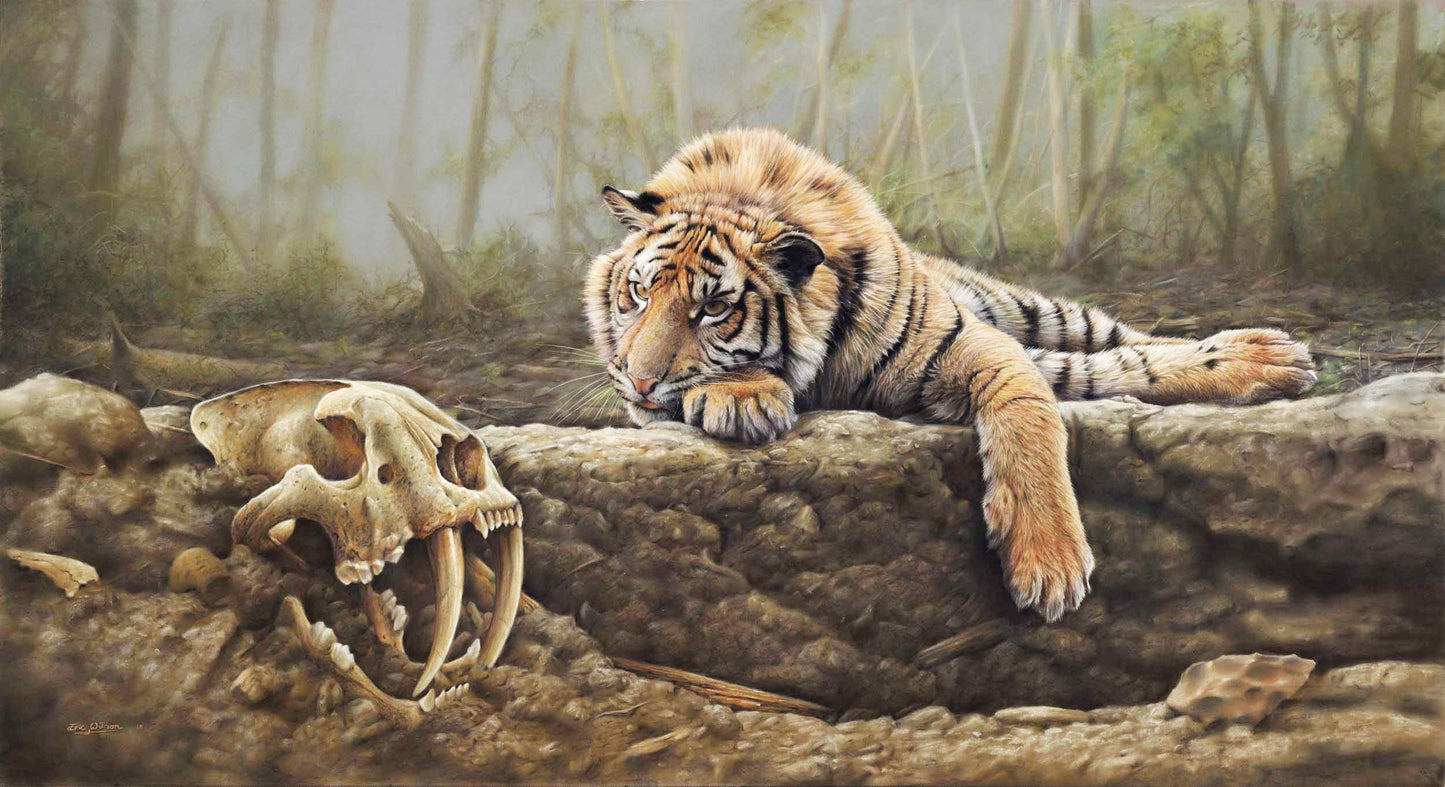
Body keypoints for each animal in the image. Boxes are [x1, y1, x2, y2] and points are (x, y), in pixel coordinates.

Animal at [584, 127, 1315, 622]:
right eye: (638, 294)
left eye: (712, 308)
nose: (638, 381)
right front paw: (742, 397)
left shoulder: (973, 344)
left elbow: (1028, 417)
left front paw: (1048, 561)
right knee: (1102, 368)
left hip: (1035, 312)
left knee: (1119, 342)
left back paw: (1269, 354)